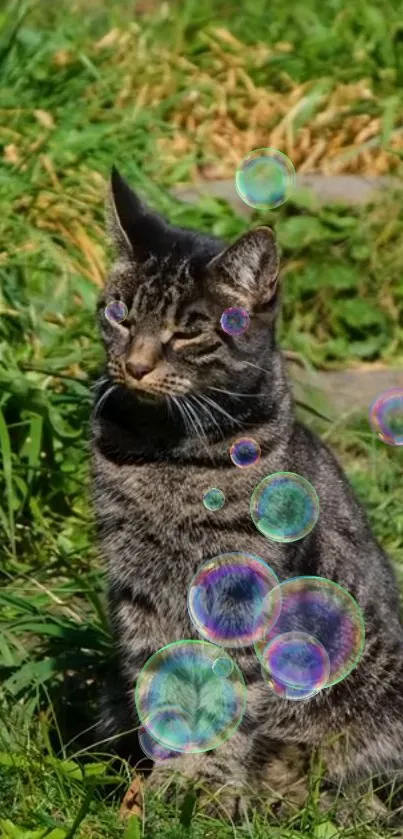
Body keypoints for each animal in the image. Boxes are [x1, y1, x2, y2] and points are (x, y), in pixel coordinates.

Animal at [93, 169, 403, 820]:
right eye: (120, 314)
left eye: (189, 331)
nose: (135, 365)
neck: (168, 454)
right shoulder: (136, 587)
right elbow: (161, 683)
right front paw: (170, 780)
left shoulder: (239, 592)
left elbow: (226, 699)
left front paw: (207, 787)